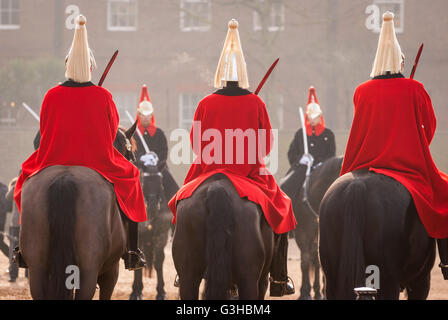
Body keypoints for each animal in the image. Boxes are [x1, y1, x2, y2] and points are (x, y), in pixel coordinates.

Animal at [130, 152, 175, 300]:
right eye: (144, 181)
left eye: (160, 181)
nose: (153, 205)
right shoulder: (139, 236)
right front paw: (136, 292)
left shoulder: (161, 234)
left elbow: (159, 261)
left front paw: (161, 292)